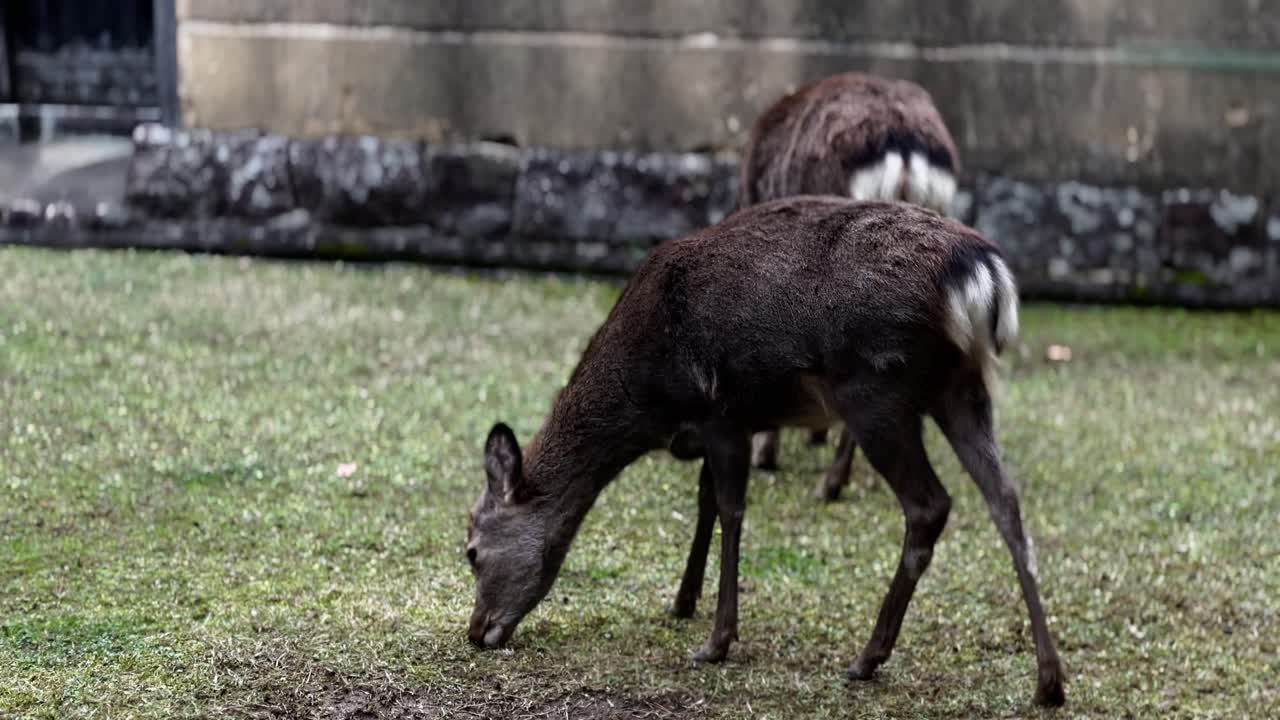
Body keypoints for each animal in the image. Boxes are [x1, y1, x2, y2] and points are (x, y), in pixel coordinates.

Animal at [465, 196, 1066, 707]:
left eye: (470, 551)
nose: (476, 631)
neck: (648, 397)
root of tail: (982, 274)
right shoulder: (714, 428)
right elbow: (706, 504)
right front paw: (683, 601)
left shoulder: (722, 415)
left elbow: (730, 511)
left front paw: (716, 641)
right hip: (962, 386)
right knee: (1006, 503)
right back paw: (1049, 682)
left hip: (876, 390)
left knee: (929, 505)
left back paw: (868, 657)